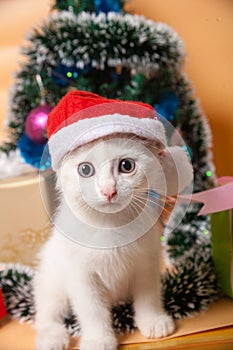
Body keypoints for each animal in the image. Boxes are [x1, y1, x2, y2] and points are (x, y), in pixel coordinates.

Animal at [34, 135, 191, 350]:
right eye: (85, 169)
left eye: (126, 165)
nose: (108, 190)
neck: (110, 225)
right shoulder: (81, 276)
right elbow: (92, 310)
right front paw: (98, 339)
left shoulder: (147, 262)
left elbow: (148, 295)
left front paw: (153, 320)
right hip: (51, 279)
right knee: (47, 311)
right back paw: (51, 337)